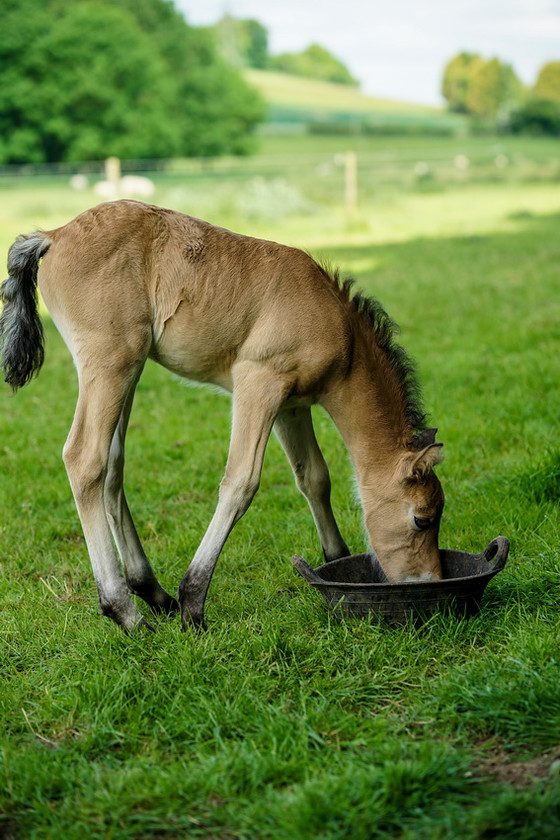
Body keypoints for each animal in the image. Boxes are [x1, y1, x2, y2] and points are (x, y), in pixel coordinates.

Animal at [1, 202, 446, 632]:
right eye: (422, 520)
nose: (431, 583)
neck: (340, 330)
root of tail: (54, 235)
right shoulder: (259, 381)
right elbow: (241, 482)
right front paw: (194, 602)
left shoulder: (292, 406)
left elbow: (314, 478)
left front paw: (336, 561)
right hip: (110, 362)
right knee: (85, 459)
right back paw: (125, 612)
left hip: (128, 369)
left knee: (112, 465)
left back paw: (152, 592)